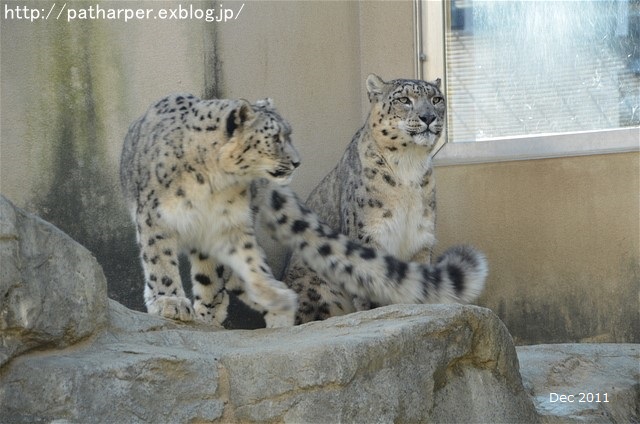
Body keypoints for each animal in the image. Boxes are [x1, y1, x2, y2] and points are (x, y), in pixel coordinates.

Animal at [282, 74, 488, 322]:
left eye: (437, 99)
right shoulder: (367, 233)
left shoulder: (421, 235)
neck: (409, 166)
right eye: (404, 99)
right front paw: (375, 311)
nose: (428, 117)